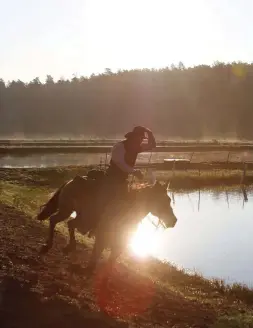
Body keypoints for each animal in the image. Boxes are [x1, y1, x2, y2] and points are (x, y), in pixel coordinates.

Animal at [37, 172, 178, 272]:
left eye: (169, 200)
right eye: (164, 201)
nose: (174, 221)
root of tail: (70, 181)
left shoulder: (121, 242)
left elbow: (111, 260)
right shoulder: (103, 234)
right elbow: (97, 252)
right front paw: (89, 268)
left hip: (78, 216)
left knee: (68, 223)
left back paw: (66, 246)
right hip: (68, 211)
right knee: (56, 220)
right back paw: (50, 245)